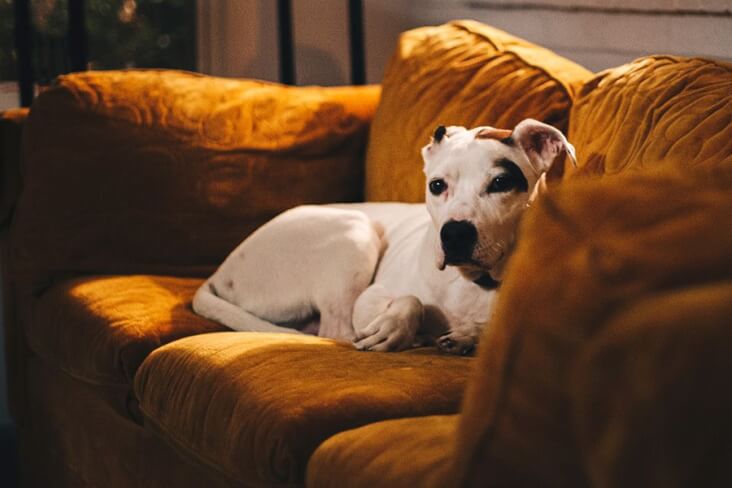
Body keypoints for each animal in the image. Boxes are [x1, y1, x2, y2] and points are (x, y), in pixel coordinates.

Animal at [193, 118, 576, 354]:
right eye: (437, 185)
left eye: (500, 183)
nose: (454, 233)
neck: (476, 284)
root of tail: (221, 272)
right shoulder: (370, 299)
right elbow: (411, 300)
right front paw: (394, 327)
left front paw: (468, 335)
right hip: (354, 233)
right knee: (337, 330)